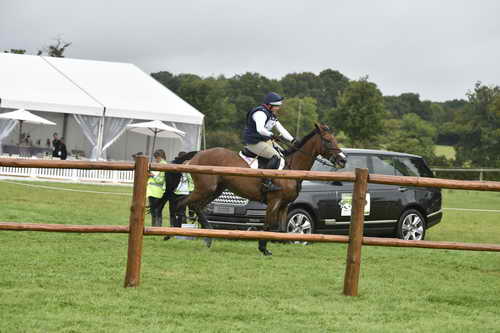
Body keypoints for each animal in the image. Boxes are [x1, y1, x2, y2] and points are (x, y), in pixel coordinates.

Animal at [170, 123, 346, 255]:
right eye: (328, 140)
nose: (343, 160)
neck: (291, 167)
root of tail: (198, 154)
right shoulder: (274, 201)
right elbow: (268, 225)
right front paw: (263, 248)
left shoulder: (285, 205)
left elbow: (281, 228)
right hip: (205, 189)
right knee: (183, 203)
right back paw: (172, 232)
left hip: (215, 190)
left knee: (196, 206)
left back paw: (207, 236)